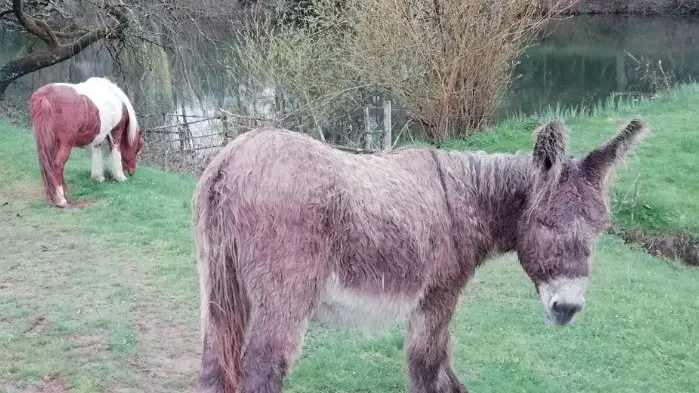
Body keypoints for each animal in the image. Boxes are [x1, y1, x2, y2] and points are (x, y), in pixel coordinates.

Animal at [29, 75, 144, 207]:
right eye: (137, 149)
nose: (131, 172)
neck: (118, 101)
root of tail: (45, 96)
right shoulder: (115, 132)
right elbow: (116, 152)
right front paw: (120, 177)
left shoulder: (99, 136)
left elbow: (97, 153)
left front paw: (98, 177)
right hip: (65, 144)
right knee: (57, 165)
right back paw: (61, 200)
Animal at [191, 118, 644, 392]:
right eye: (546, 224)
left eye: (598, 231)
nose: (567, 308)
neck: (466, 197)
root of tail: (230, 159)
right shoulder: (439, 294)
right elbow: (427, 362)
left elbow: (439, 361)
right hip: (283, 300)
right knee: (261, 371)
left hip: (219, 290)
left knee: (214, 365)